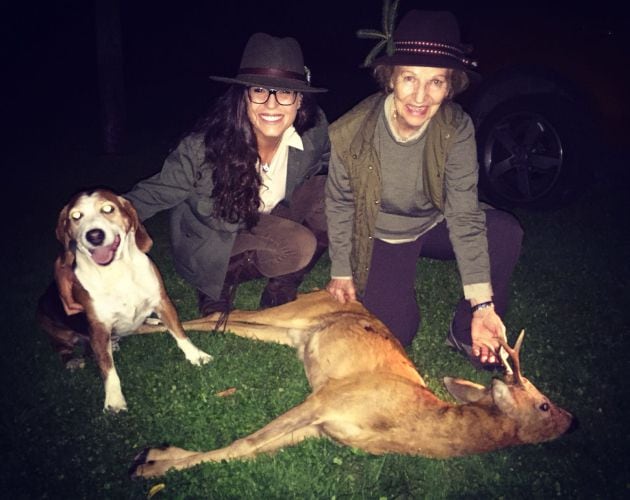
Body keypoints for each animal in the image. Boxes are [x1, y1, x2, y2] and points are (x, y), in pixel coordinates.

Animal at [38, 189, 214, 412]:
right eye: (75, 216)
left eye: (108, 208)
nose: (94, 235)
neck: (116, 271)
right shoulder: (98, 326)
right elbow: (107, 367)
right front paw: (114, 399)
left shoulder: (162, 302)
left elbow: (180, 333)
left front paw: (196, 355)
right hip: (56, 329)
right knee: (63, 348)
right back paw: (74, 360)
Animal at [131, 290, 576, 476]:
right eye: (544, 405)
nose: (573, 421)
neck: (406, 423)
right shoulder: (328, 397)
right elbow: (245, 443)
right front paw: (152, 469)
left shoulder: (321, 428)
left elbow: (244, 451)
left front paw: (155, 457)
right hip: (293, 311)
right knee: (220, 313)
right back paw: (133, 328)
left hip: (288, 333)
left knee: (223, 322)